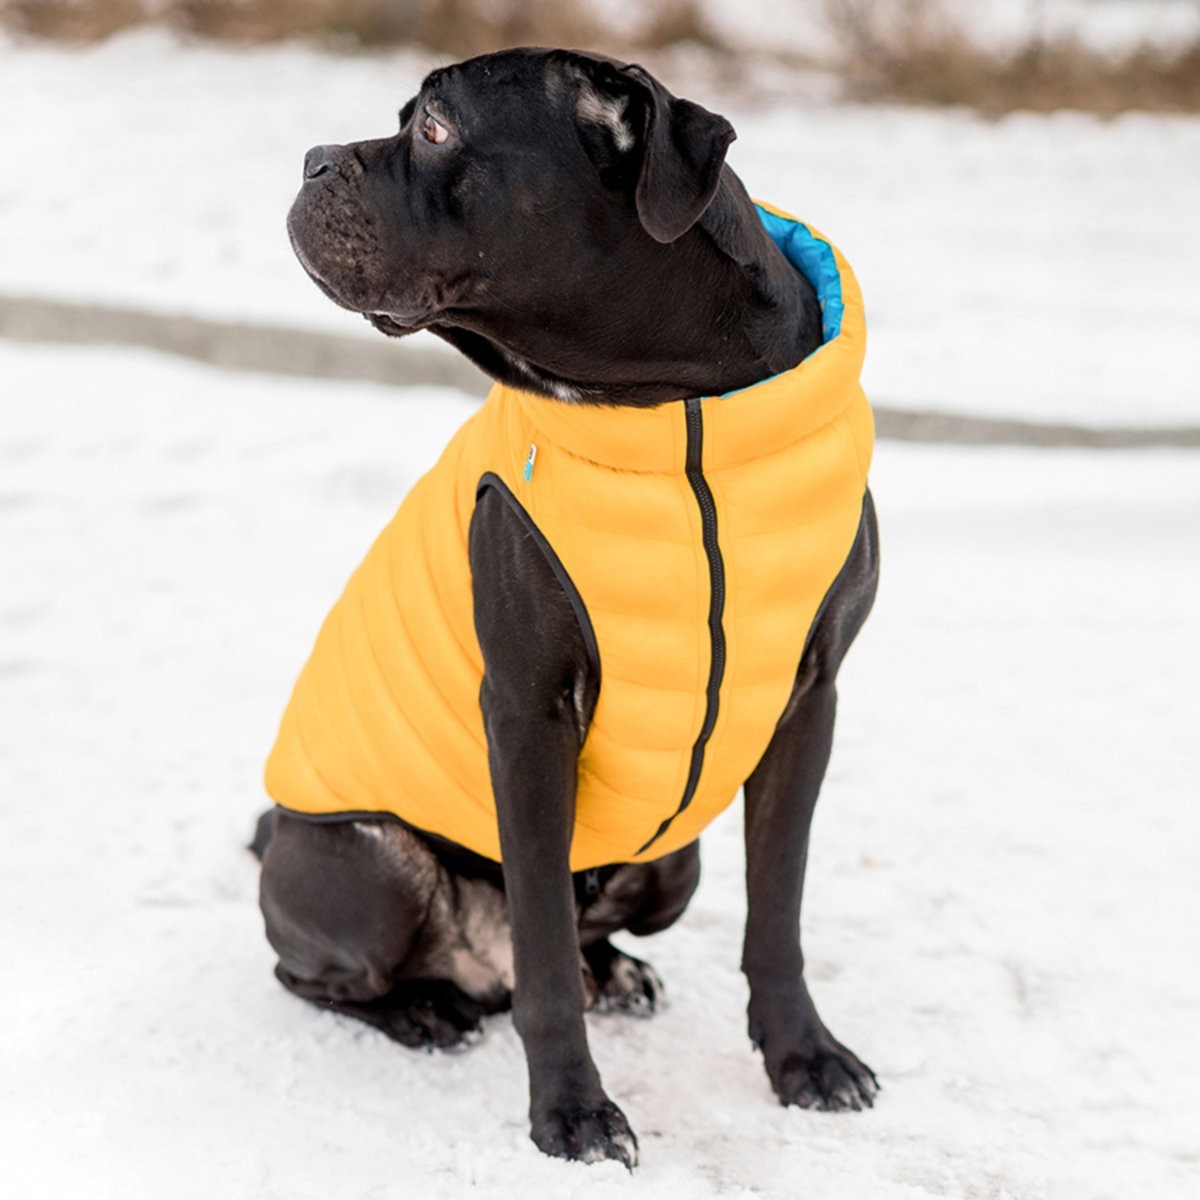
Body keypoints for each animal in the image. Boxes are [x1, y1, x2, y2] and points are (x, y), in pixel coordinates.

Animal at [260, 49, 883, 1171]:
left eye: (435, 129)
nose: (314, 157)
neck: (678, 410)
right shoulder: (528, 715)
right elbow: (544, 946)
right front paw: (574, 1114)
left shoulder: (808, 700)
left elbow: (778, 911)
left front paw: (804, 1058)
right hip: (370, 863)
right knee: (335, 974)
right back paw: (424, 1010)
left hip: (673, 857)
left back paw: (620, 974)